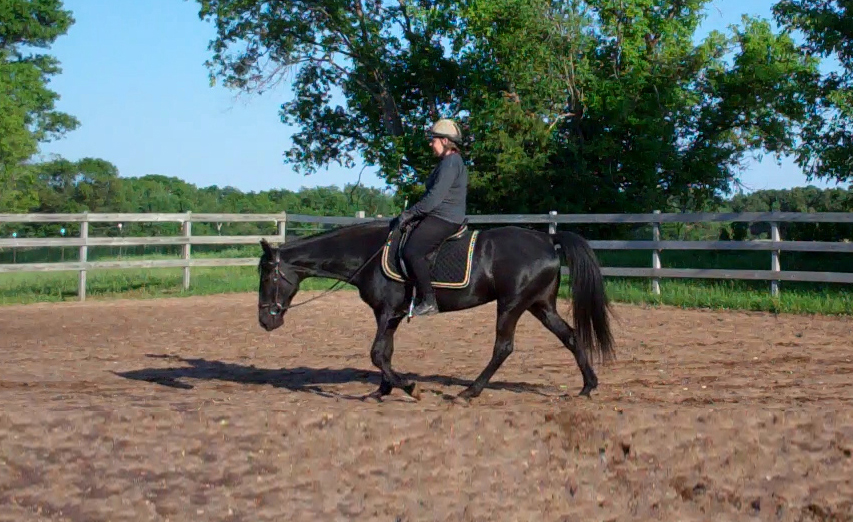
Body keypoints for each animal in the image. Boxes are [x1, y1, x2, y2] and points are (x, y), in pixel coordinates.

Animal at [257, 218, 615, 402]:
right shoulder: (388, 315)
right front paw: (383, 390)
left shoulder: (388, 312)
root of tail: (546, 239)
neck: (367, 254)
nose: (265, 321)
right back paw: (587, 386)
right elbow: (385, 352)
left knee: (503, 347)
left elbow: (376, 353)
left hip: (512, 305)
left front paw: (408, 388)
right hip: (539, 305)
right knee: (570, 336)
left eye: (267, 275)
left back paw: (470, 391)